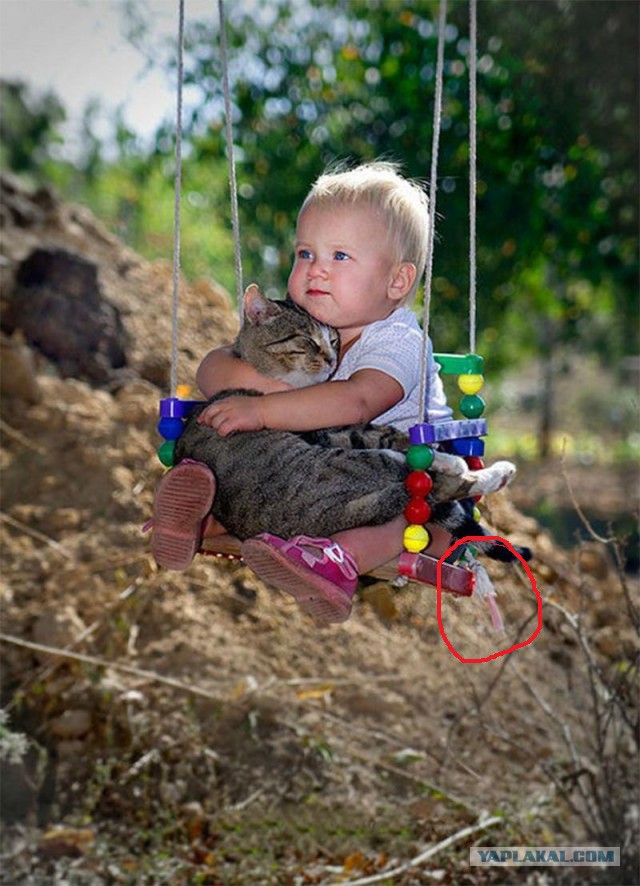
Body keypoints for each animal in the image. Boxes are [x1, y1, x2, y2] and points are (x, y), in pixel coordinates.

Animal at [174, 288, 528, 564]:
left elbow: (387, 433)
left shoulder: (337, 428)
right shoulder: (332, 431)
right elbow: (388, 437)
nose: (332, 358)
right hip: (352, 464)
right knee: (431, 483)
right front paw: (447, 459)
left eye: (333, 340)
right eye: (307, 340)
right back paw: (485, 470)